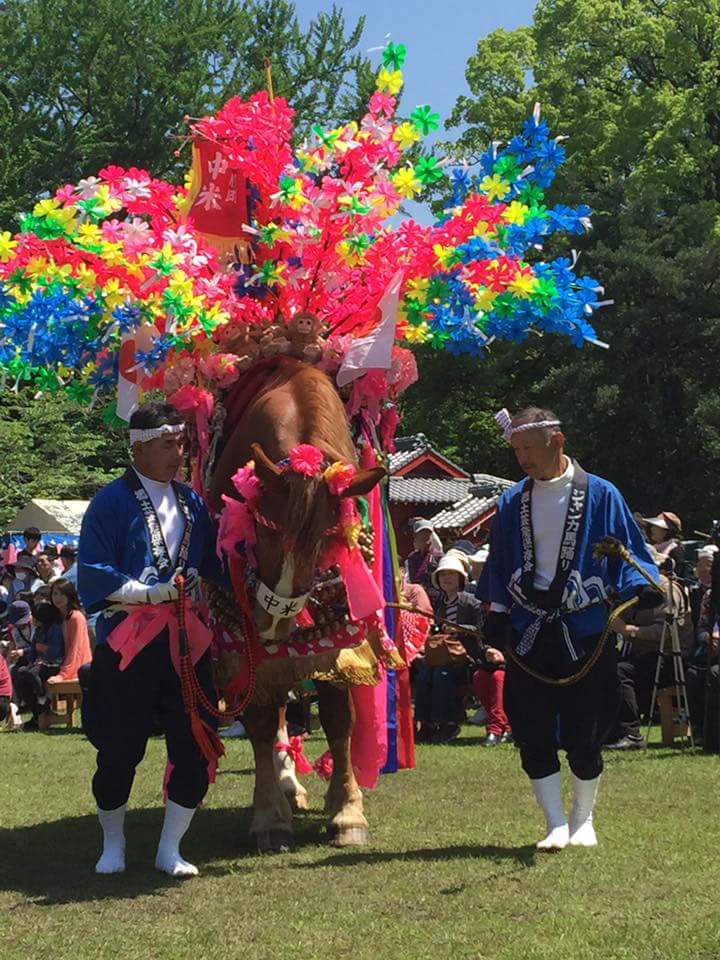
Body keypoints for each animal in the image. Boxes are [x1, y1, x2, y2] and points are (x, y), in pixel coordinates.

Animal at [208, 358, 386, 848]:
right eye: (263, 529)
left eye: (326, 541)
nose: (275, 621)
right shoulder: (244, 638)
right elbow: (261, 719)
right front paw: (270, 817)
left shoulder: (341, 623)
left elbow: (339, 716)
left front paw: (347, 811)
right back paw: (286, 783)